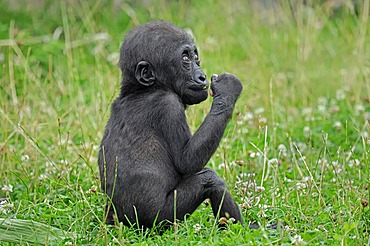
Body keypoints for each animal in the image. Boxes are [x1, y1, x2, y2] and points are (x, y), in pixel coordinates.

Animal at [98, 21, 243, 229]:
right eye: (185, 58)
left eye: (195, 57)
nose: (202, 76)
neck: (140, 90)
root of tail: (118, 221)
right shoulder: (168, 105)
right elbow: (187, 161)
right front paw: (227, 90)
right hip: (158, 219)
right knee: (210, 180)